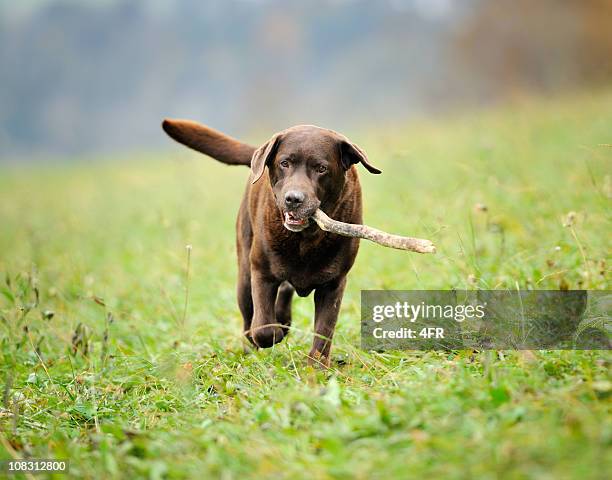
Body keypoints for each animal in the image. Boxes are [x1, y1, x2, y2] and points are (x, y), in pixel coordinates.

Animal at [165, 119, 380, 364]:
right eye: (284, 163)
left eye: (321, 168)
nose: (294, 199)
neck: (305, 238)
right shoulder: (262, 272)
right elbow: (263, 328)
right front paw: (271, 333)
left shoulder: (333, 284)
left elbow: (324, 331)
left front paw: (316, 367)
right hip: (244, 275)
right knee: (250, 318)